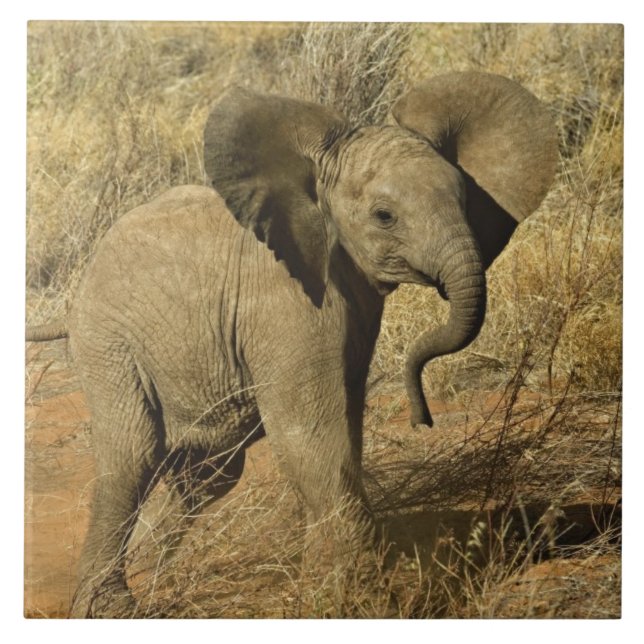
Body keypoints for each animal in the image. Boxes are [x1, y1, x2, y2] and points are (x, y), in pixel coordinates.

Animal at [25, 71, 557, 617]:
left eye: (466, 200)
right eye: (384, 216)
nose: (422, 418)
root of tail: (74, 299)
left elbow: (345, 425)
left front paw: (325, 579)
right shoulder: (288, 302)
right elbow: (310, 433)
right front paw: (359, 599)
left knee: (209, 475)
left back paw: (159, 574)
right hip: (108, 343)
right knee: (131, 459)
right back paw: (113, 607)